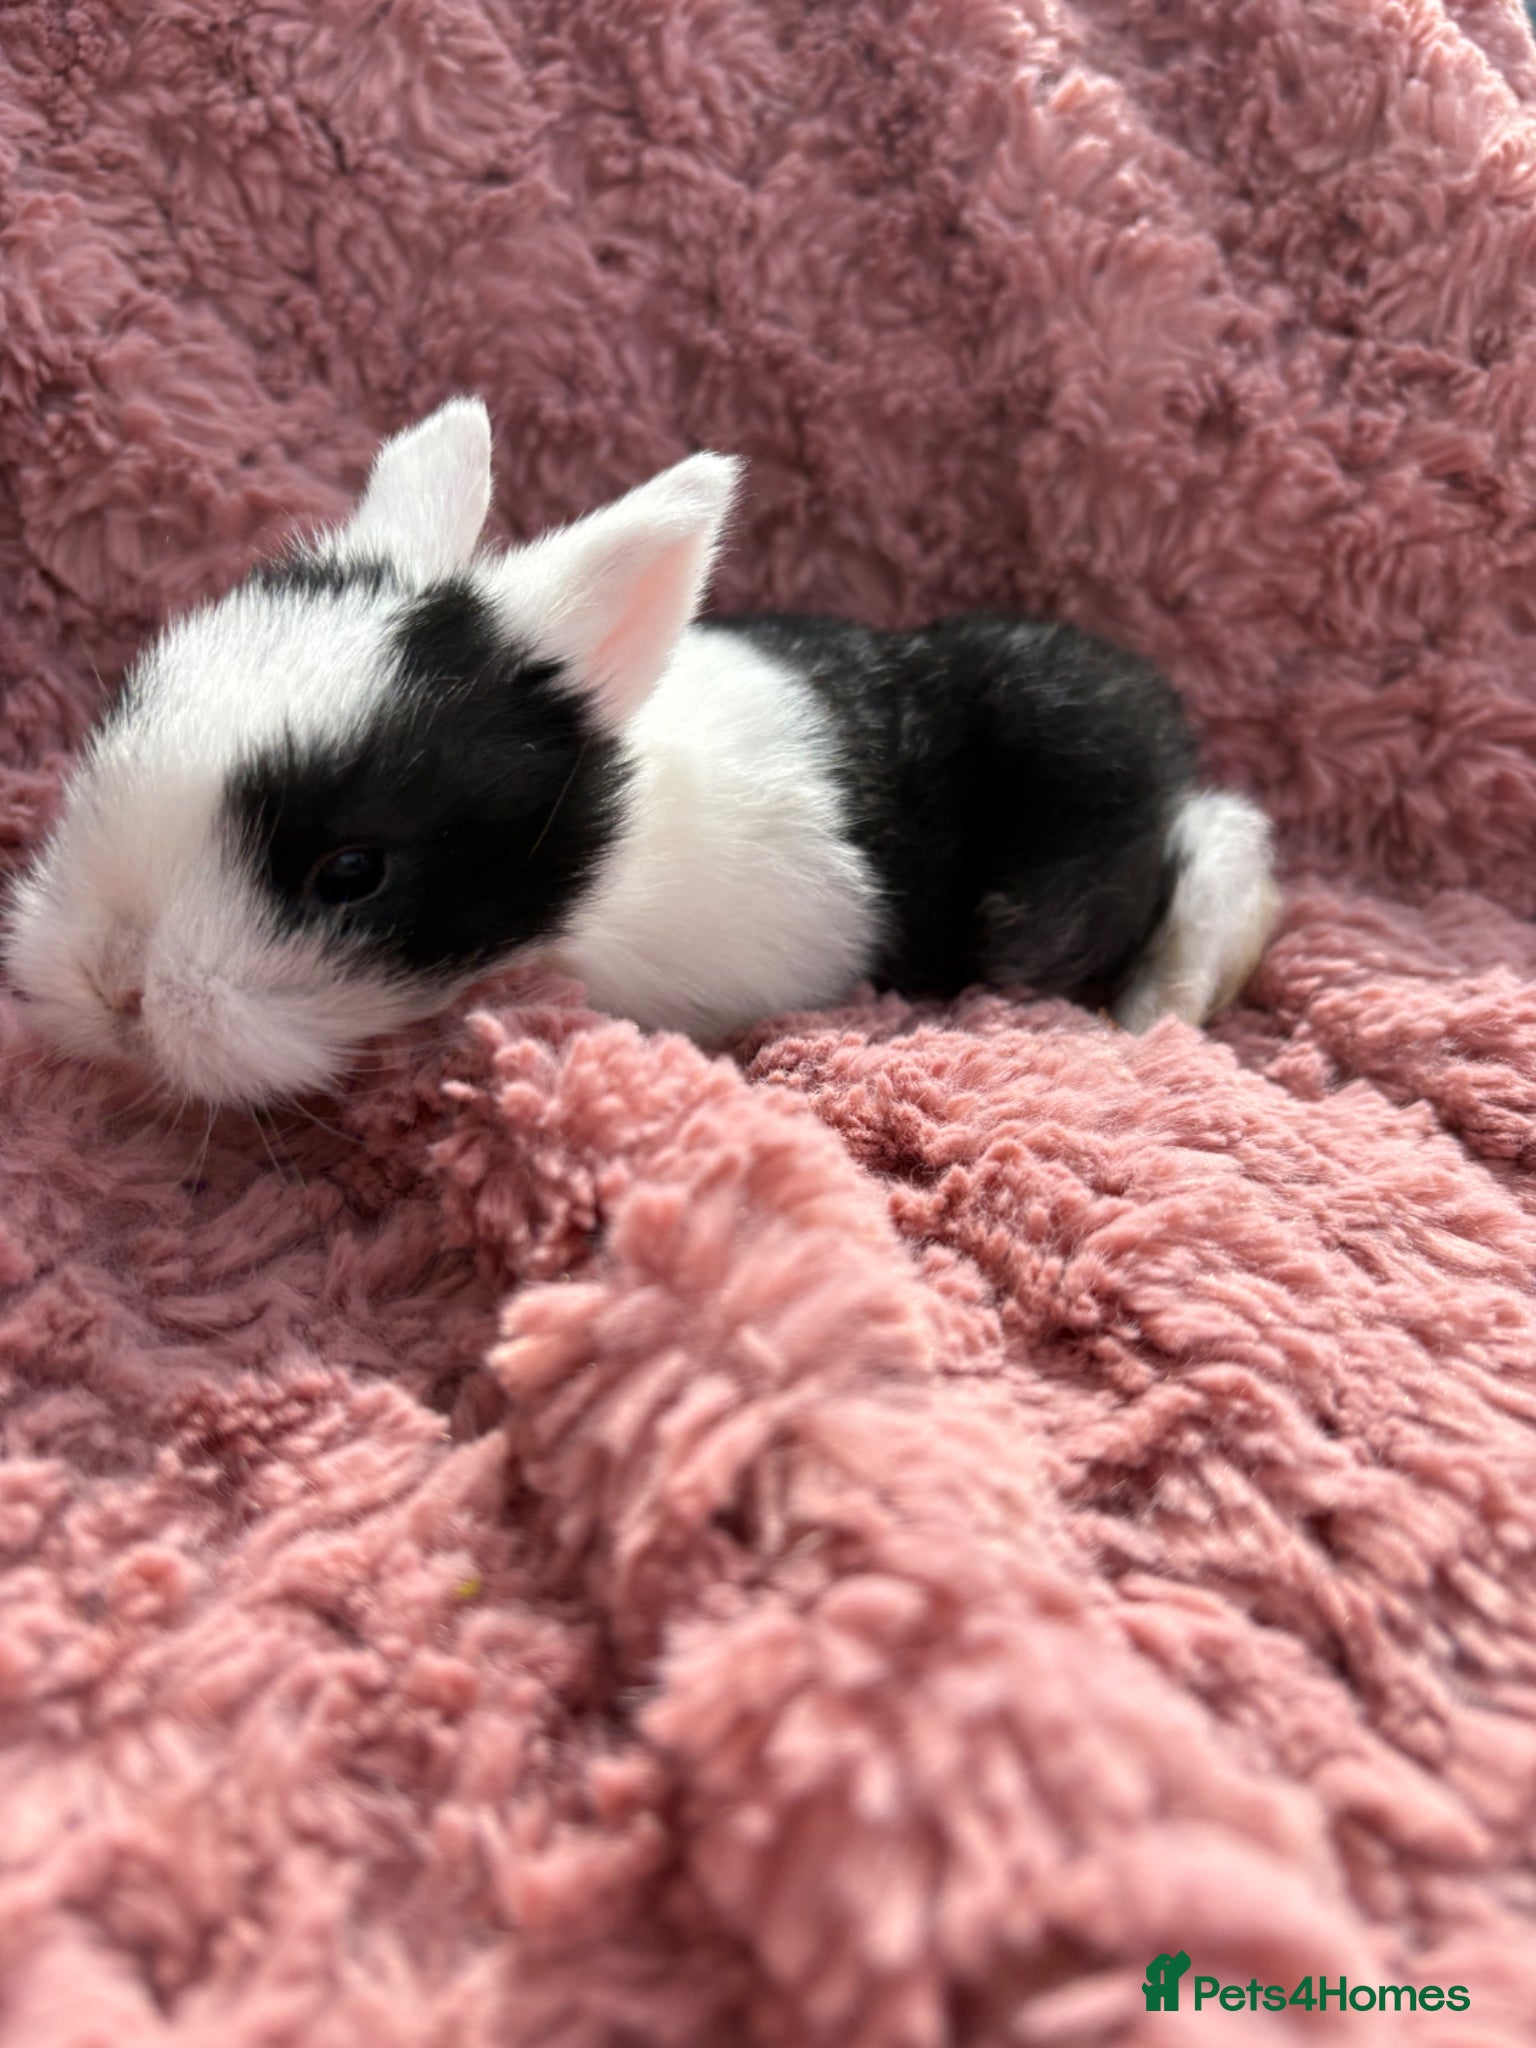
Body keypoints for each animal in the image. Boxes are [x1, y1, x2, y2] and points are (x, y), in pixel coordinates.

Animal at [3, 398, 1280, 1109]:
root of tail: (1154, 720)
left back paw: (1163, 1001)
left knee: (1220, 839)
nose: (111, 986)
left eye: (352, 873)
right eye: (123, 710)